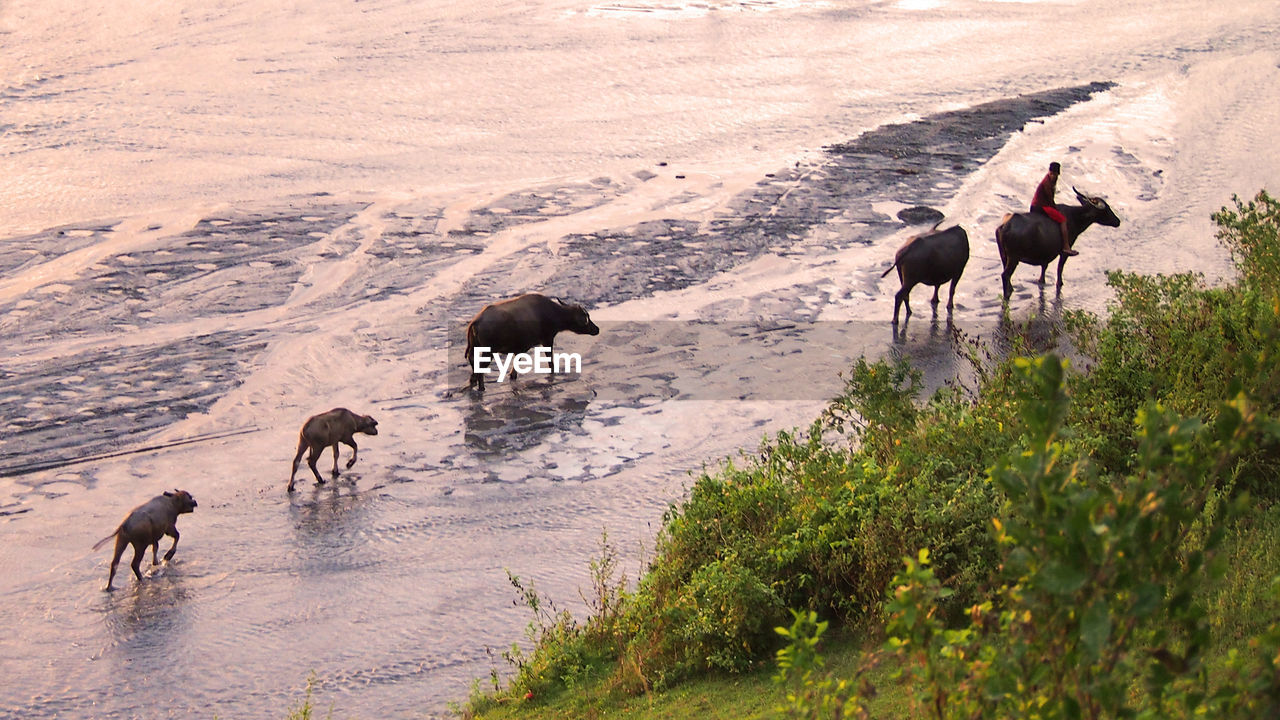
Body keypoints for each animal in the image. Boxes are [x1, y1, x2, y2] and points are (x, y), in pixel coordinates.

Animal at [465, 292, 599, 389]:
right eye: (586, 317)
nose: (597, 329)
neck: (553, 313)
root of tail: (476, 321)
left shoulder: (522, 347)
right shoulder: (547, 340)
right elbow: (550, 361)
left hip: (475, 348)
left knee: (473, 363)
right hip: (489, 351)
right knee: (480, 367)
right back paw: (481, 388)